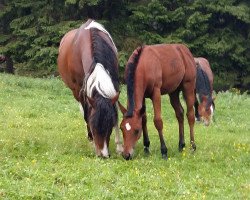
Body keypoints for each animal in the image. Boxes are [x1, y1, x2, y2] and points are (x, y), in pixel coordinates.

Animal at [57, 19, 123, 159]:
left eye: (109, 126)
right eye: (93, 126)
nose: (103, 155)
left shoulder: (114, 83)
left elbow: (115, 113)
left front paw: (120, 147)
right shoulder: (81, 89)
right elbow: (87, 114)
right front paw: (92, 141)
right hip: (75, 92)